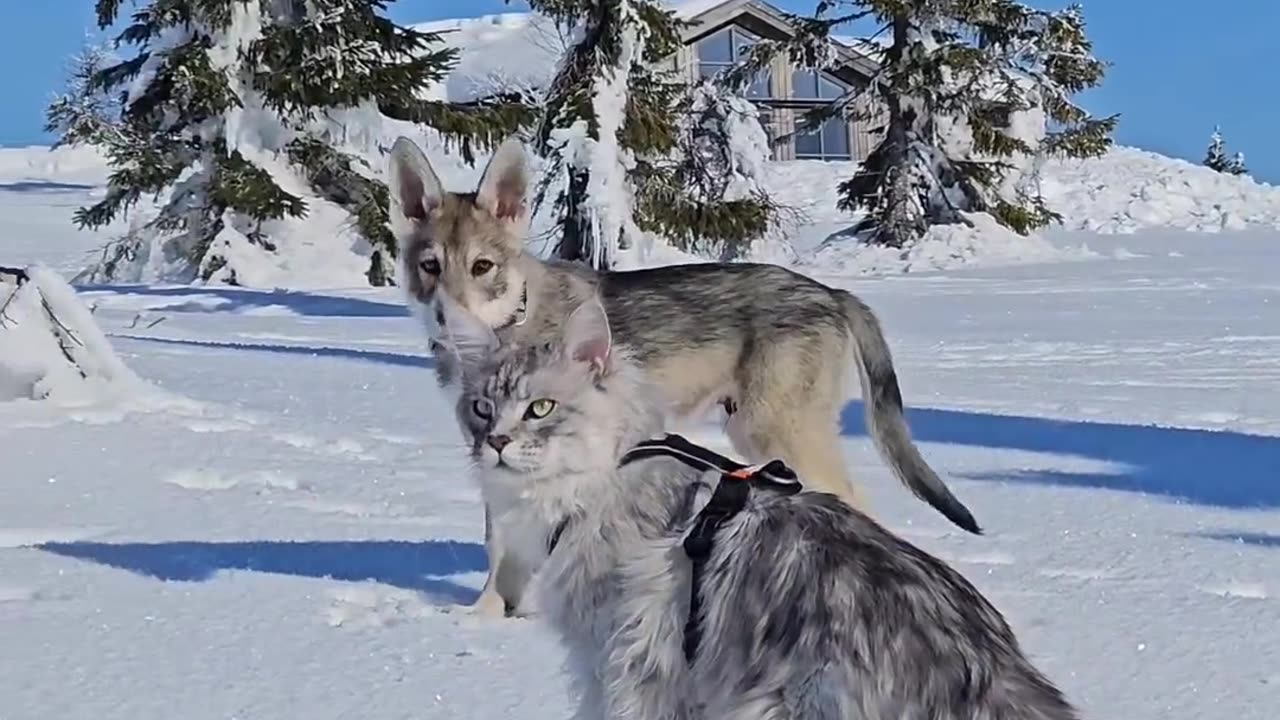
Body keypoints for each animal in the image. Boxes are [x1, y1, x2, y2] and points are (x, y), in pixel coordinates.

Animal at [381, 137, 977, 614]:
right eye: (430, 266)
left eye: (482, 267)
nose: (446, 316)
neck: (517, 325)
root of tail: (831, 292)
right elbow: (500, 543)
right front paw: (486, 616)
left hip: (774, 431)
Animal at [440, 294, 1080, 717]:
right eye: (480, 407)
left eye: (541, 408)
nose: (495, 442)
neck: (605, 474)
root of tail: (988, 672)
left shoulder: (630, 659)